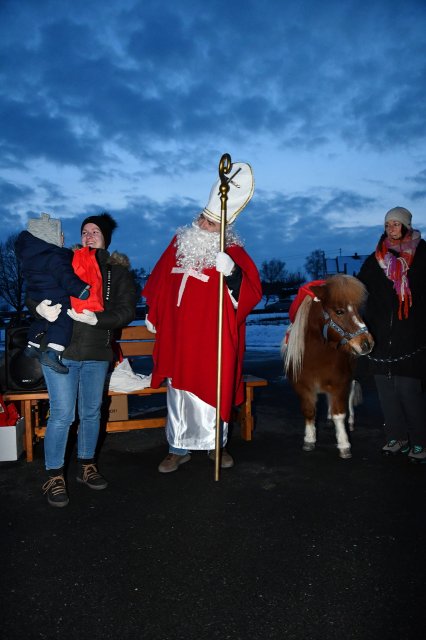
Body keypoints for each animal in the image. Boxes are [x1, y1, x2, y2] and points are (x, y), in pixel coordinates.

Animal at [282, 276, 374, 460]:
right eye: (339, 311)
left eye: (357, 308)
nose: (367, 343)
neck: (316, 356)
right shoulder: (302, 387)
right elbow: (309, 412)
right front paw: (309, 440)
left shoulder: (340, 384)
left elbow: (340, 414)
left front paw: (344, 445)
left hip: (351, 379)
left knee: (349, 399)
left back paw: (350, 423)